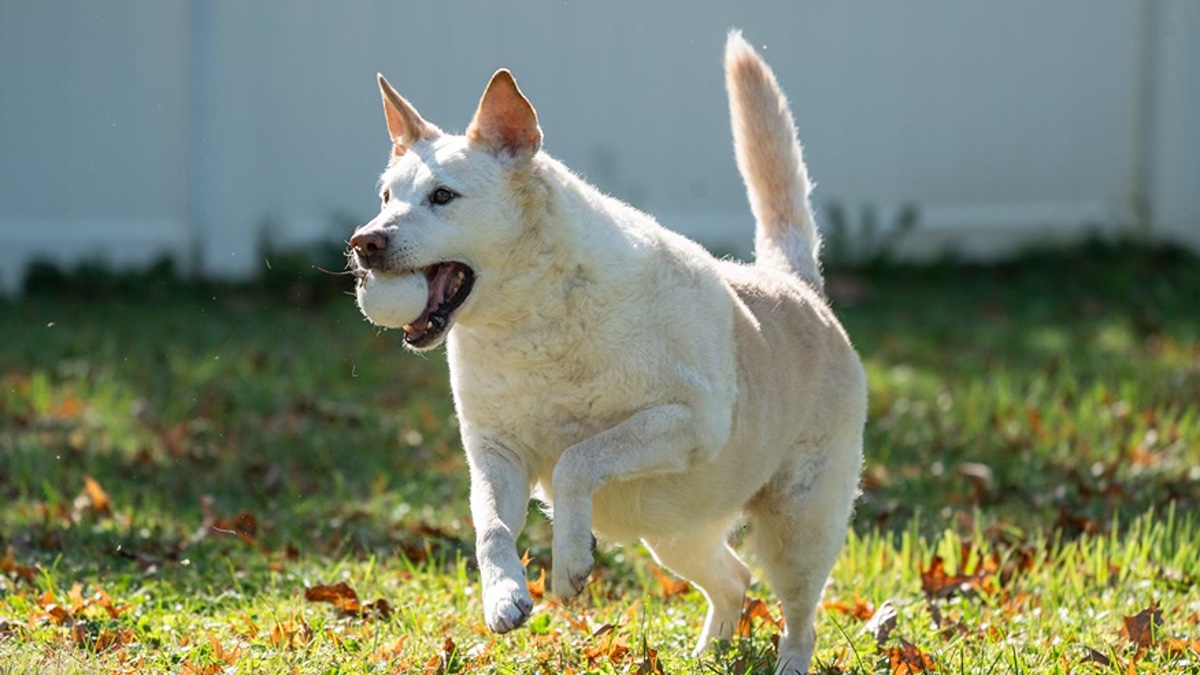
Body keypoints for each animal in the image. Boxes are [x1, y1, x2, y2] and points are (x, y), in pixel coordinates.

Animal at [348, 28, 864, 667]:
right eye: (386, 196)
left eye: (443, 196)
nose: (363, 243)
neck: (531, 321)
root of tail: (796, 284)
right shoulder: (496, 453)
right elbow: (491, 528)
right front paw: (505, 598)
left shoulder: (688, 422)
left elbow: (578, 458)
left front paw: (570, 563)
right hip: (676, 532)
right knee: (735, 579)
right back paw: (705, 656)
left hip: (798, 525)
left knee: (799, 614)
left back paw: (788, 664)